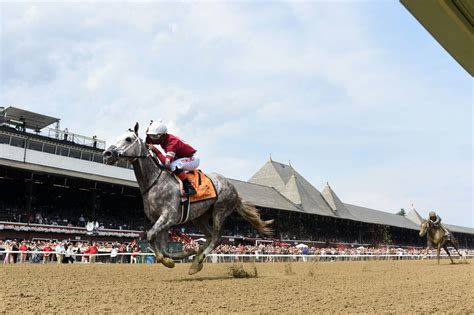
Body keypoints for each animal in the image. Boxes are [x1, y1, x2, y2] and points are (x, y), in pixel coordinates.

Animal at [103, 122, 274, 276]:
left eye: (128, 139)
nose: (107, 154)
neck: (155, 182)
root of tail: (234, 190)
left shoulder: (169, 216)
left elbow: (151, 236)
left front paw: (172, 259)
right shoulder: (160, 220)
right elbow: (164, 247)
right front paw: (183, 254)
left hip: (220, 211)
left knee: (217, 238)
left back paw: (197, 262)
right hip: (199, 218)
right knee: (210, 237)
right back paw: (197, 258)